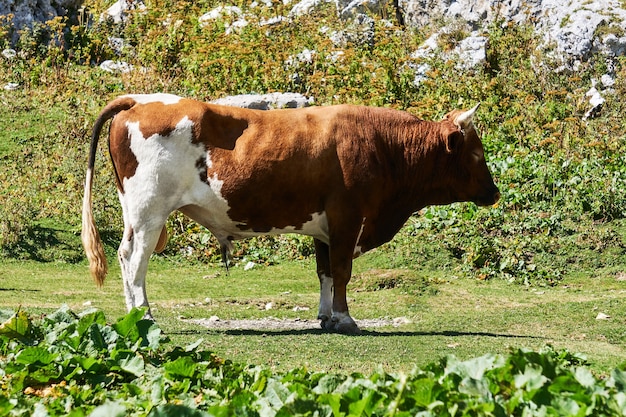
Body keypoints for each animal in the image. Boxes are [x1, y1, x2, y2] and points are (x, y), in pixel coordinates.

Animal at [81, 92, 498, 334]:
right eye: (477, 154)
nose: (494, 193)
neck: (384, 146)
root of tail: (140, 100)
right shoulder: (348, 218)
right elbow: (343, 272)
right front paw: (346, 319)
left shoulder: (325, 228)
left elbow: (326, 272)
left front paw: (326, 317)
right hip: (149, 211)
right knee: (136, 260)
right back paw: (145, 316)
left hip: (136, 213)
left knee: (125, 256)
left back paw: (134, 315)